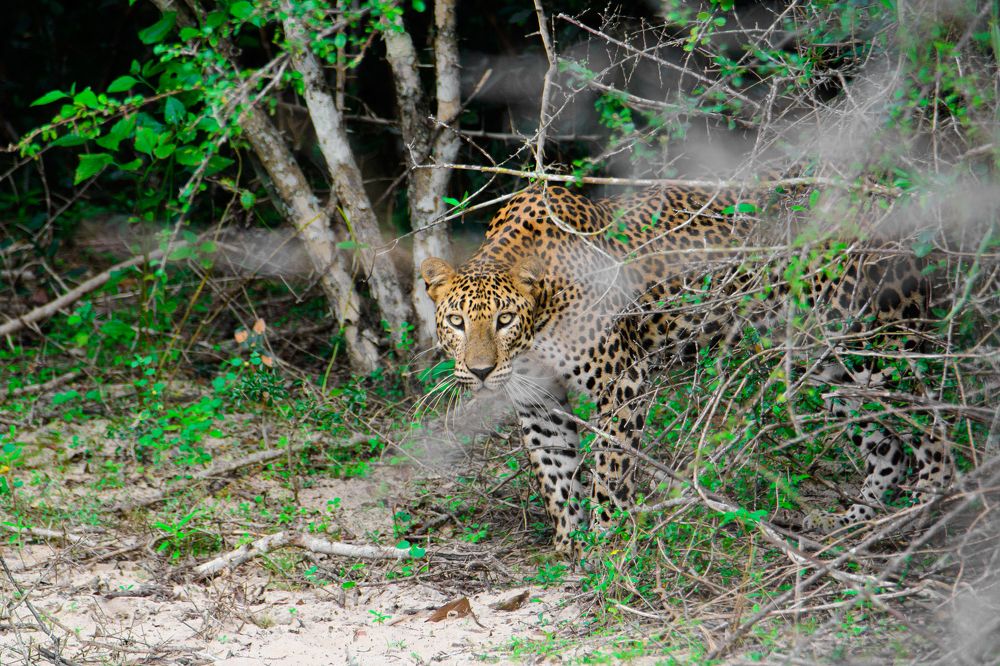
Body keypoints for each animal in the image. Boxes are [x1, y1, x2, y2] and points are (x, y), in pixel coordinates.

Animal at [420, 180, 955, 556]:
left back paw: (928, 514)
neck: (539, 322)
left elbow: (609, 470)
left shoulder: (622, 380)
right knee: (889, 449)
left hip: (877, 348)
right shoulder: (539, 401)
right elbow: (556, 475)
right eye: (457, 321)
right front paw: (571, 544)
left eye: (504, 320)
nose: (481, 371)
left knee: (935, 425)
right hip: (828, 368)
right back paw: (853, 527)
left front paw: (608, 542)